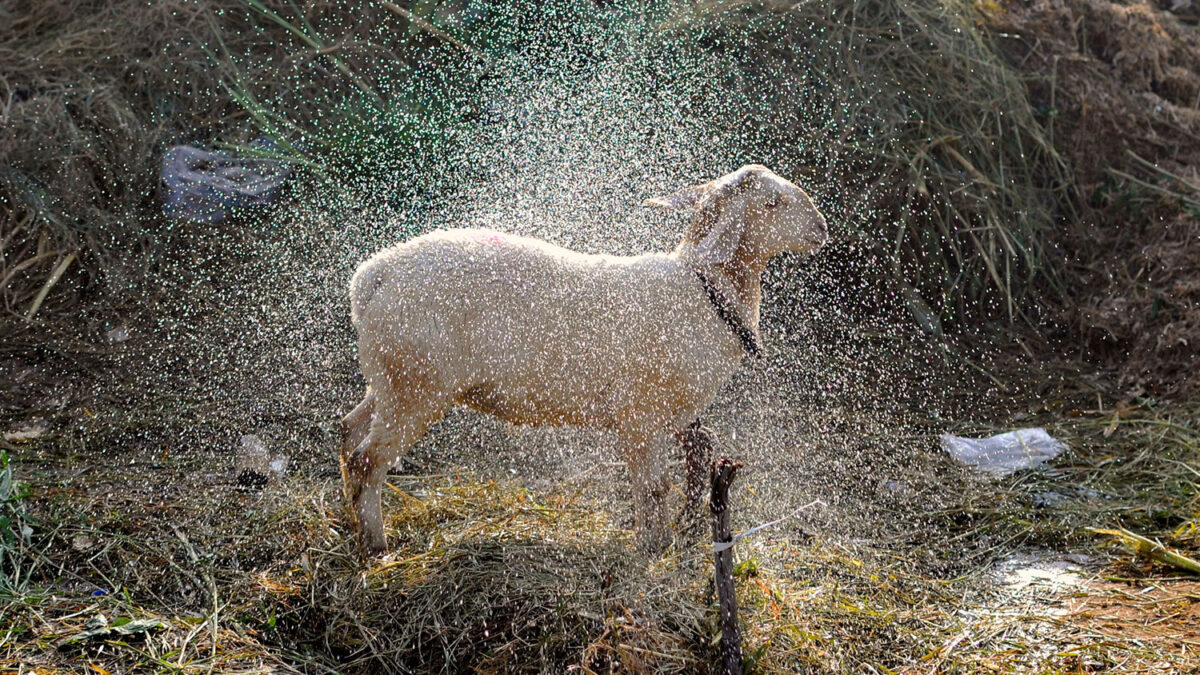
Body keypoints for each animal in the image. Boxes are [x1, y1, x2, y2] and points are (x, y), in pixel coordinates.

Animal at [338, 163, 825, 552]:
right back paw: (378, 547)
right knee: (368, 460)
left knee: (348, 433)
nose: (821, 227)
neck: (704, 289)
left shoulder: (672, 416)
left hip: (387, 378)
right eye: (773, 202)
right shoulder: (641, 416)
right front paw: (653, 549)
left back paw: (356, 529)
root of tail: (371, 278)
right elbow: (653, 488)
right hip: (416, 384)